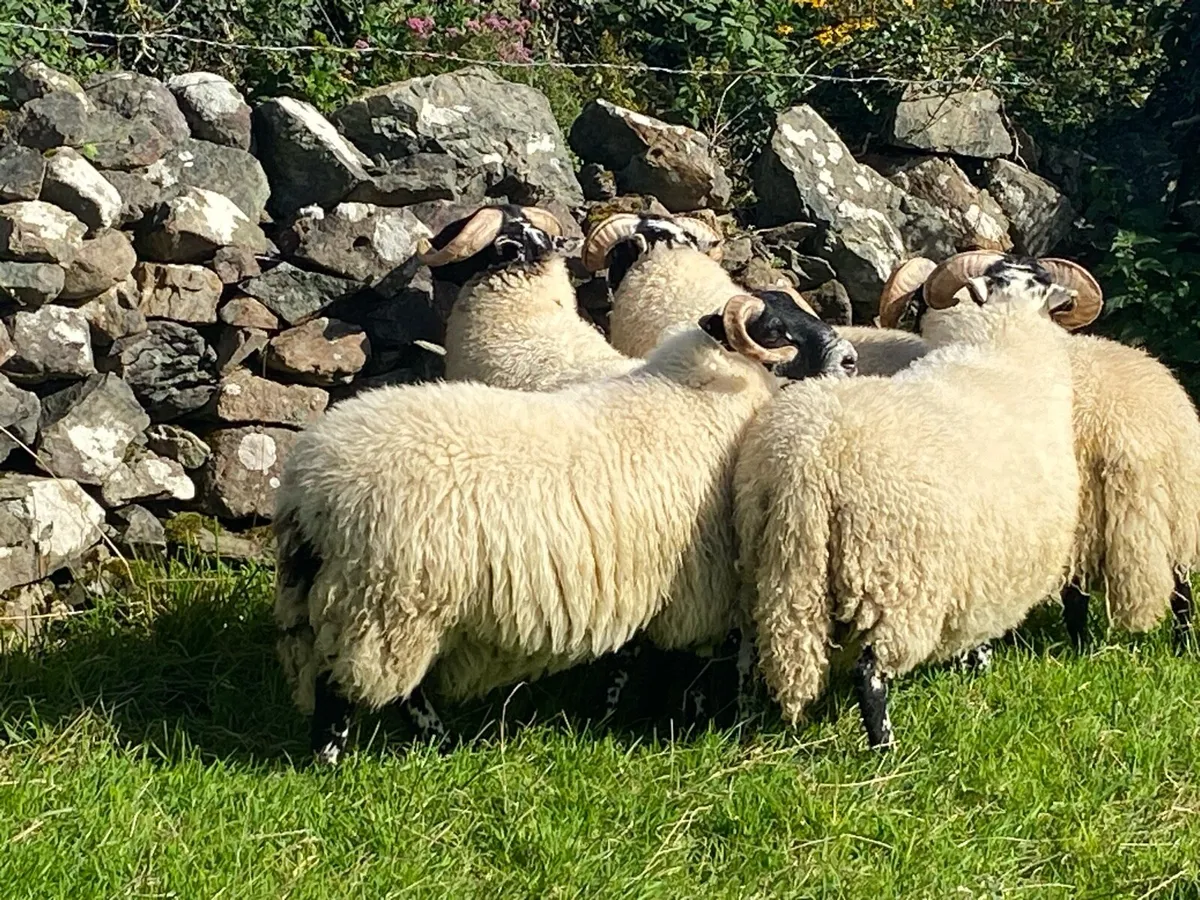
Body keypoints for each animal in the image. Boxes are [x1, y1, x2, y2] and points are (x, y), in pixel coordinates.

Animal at [274, 291, 859, 763]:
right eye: (775, 330)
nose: (851, 360)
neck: (701, 396)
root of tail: (309, 486)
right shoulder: (695, 588)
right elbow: (681, 668)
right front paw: (678, 725)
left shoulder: (642, 578)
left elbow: (631, 658)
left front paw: (616, 713)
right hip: (387, 601)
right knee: (353, 687)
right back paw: (351, 759)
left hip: (358, 598)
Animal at [734, 251, 1100, 749]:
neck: (1003, 344)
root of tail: (806, 460)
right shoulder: (991, 559)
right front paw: (979, 664)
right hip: (896, 580)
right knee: (870, 672)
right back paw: (884, 747)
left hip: (771, 563)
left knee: (753, 650)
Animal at [878, 257, 1199, 650]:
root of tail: (1130, 433)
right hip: (1180, 511)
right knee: (1182, 590)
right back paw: (1183, 644)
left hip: (1081, 519)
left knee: (1076, 593)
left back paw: (1079, 648)